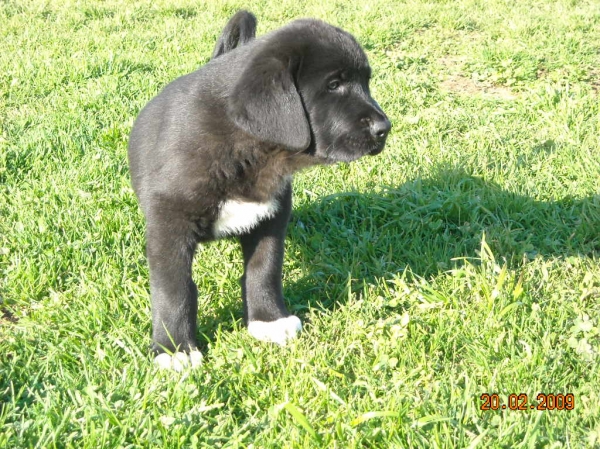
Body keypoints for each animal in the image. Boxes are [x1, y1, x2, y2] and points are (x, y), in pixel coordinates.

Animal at [127, 9, 392, 368]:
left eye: (365, 82)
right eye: (333, 85)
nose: (384, 128)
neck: (248, 150)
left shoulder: (270, 215)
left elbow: (264, 269)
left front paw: (268, 319)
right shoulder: (169, 224)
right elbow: (173, 289)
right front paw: (173, 349)